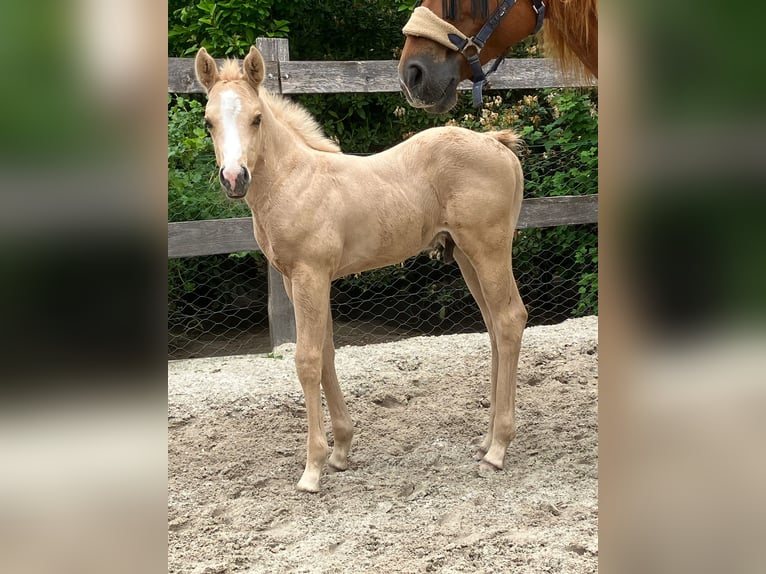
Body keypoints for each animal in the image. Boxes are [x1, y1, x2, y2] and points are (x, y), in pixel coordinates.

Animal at [194, 45, 528, 493]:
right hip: (465, 255)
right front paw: (339, 452)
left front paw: (312, 469)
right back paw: (487, 439)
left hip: (488, 247)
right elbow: (326, 353)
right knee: (494, 327)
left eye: (257, 118)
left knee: (509, 320)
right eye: (208, 121)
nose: (234, 178)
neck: (294, 181)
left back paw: (497, 450)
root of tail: (497, 143)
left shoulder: (310, 275)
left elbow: (306, 360)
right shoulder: (295, 279)